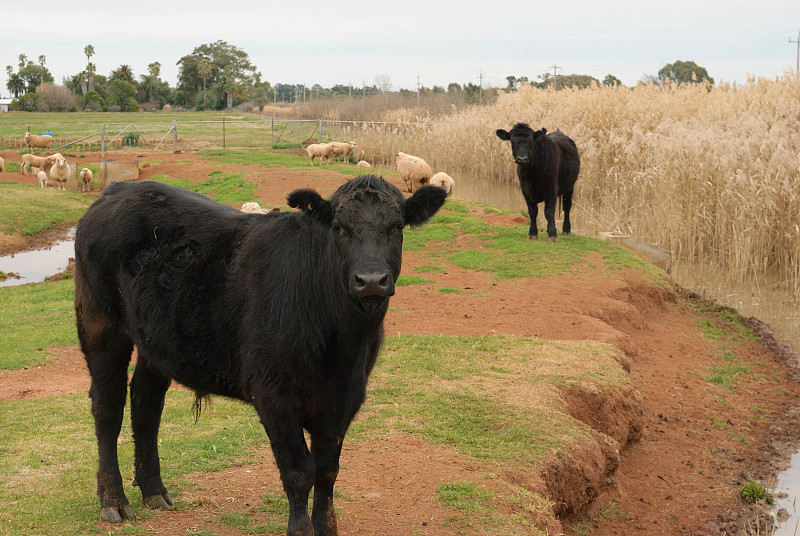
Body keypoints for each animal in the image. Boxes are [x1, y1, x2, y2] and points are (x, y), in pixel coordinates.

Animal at [72, 176, 446, 536]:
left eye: (397, 226)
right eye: (339, 227)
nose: (370, 280)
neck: (340, 348)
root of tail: (118, 189)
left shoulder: (344, 398)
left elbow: (328, 470)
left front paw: (326, 526)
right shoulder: (273, 392)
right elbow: (299, 471)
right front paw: (300, 529)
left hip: (157, 338)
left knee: (146, 405)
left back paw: (154, 491)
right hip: (100, 321)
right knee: (108, 408)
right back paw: (114, 501)